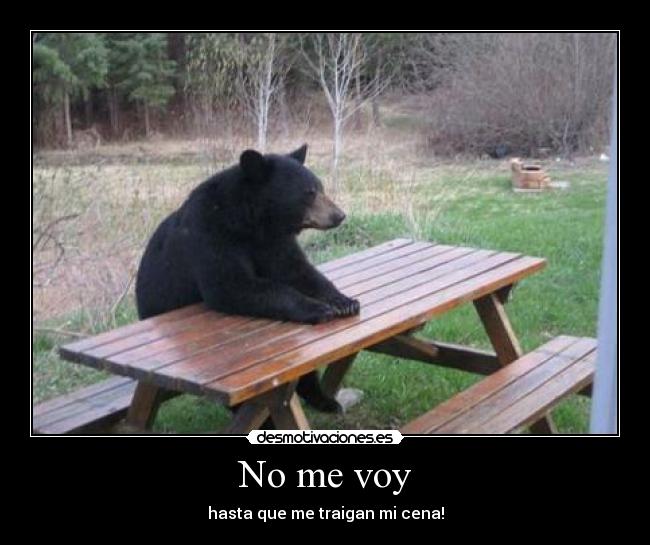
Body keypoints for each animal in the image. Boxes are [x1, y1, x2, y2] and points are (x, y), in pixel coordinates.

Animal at [135, 144, 360, 413]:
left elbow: (298, 271)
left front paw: (344, 301)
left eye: (320, 187)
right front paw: (318, 308)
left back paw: (324, 400)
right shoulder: (210, 235)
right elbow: (232, 286)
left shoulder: (273, 242)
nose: (339, 215)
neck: (252, 222)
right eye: (309, 192)